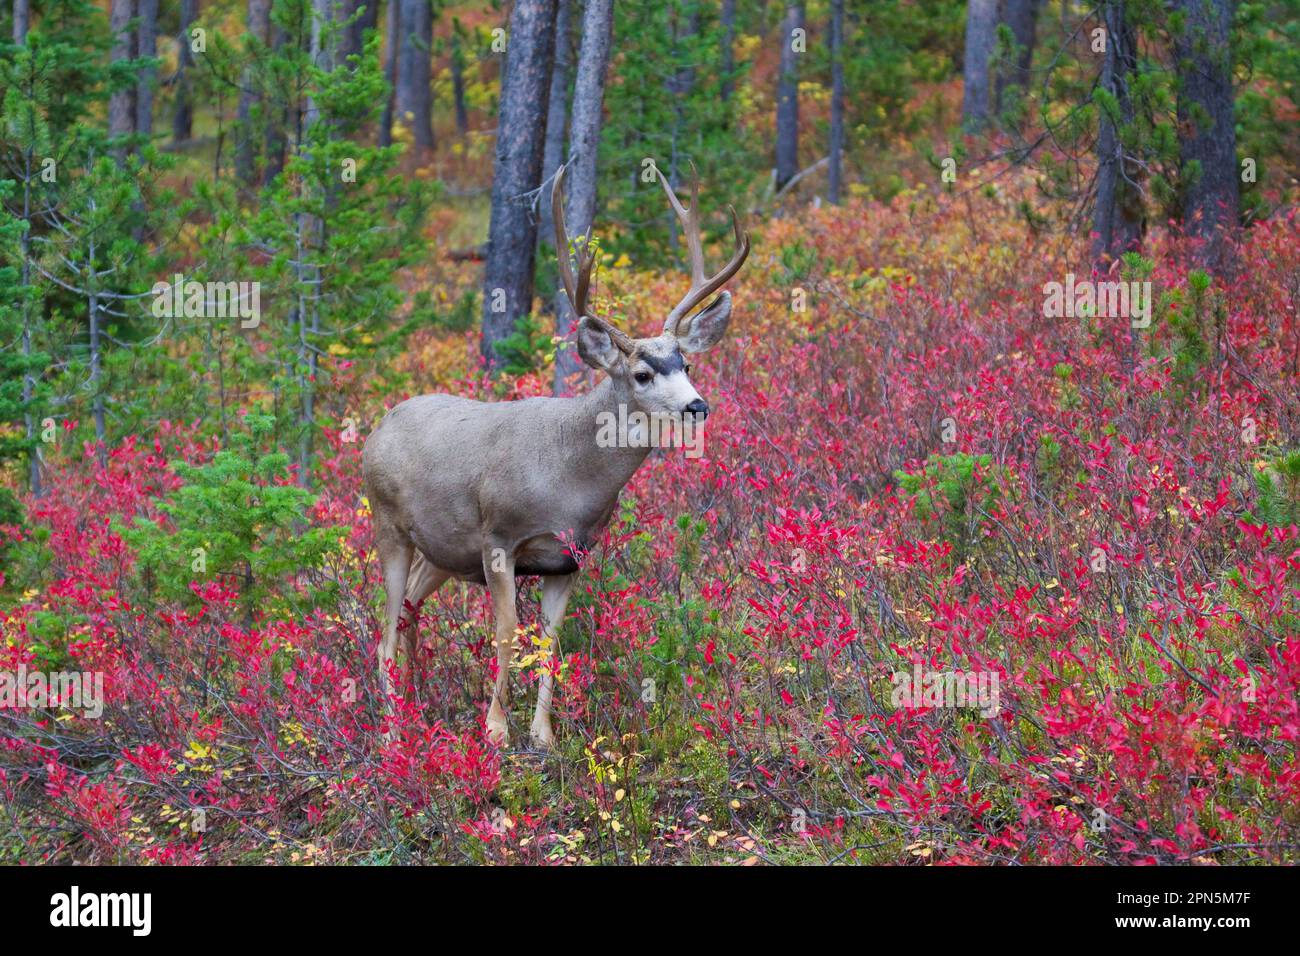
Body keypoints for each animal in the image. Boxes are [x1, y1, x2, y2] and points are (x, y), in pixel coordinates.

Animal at [366, 162, 754, 749]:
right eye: (642, 373)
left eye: (686, 363)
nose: (697, 405)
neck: (569, 482)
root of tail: (377, 428)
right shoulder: (498, 537)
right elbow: (506, 633)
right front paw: (496, 732)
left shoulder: (568, 557)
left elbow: (550, 641)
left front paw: (543, 736)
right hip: (389, 525)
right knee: (385, 629)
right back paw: (392, 733)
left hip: (442, 550)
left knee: (410, 609)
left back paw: (418, 707)